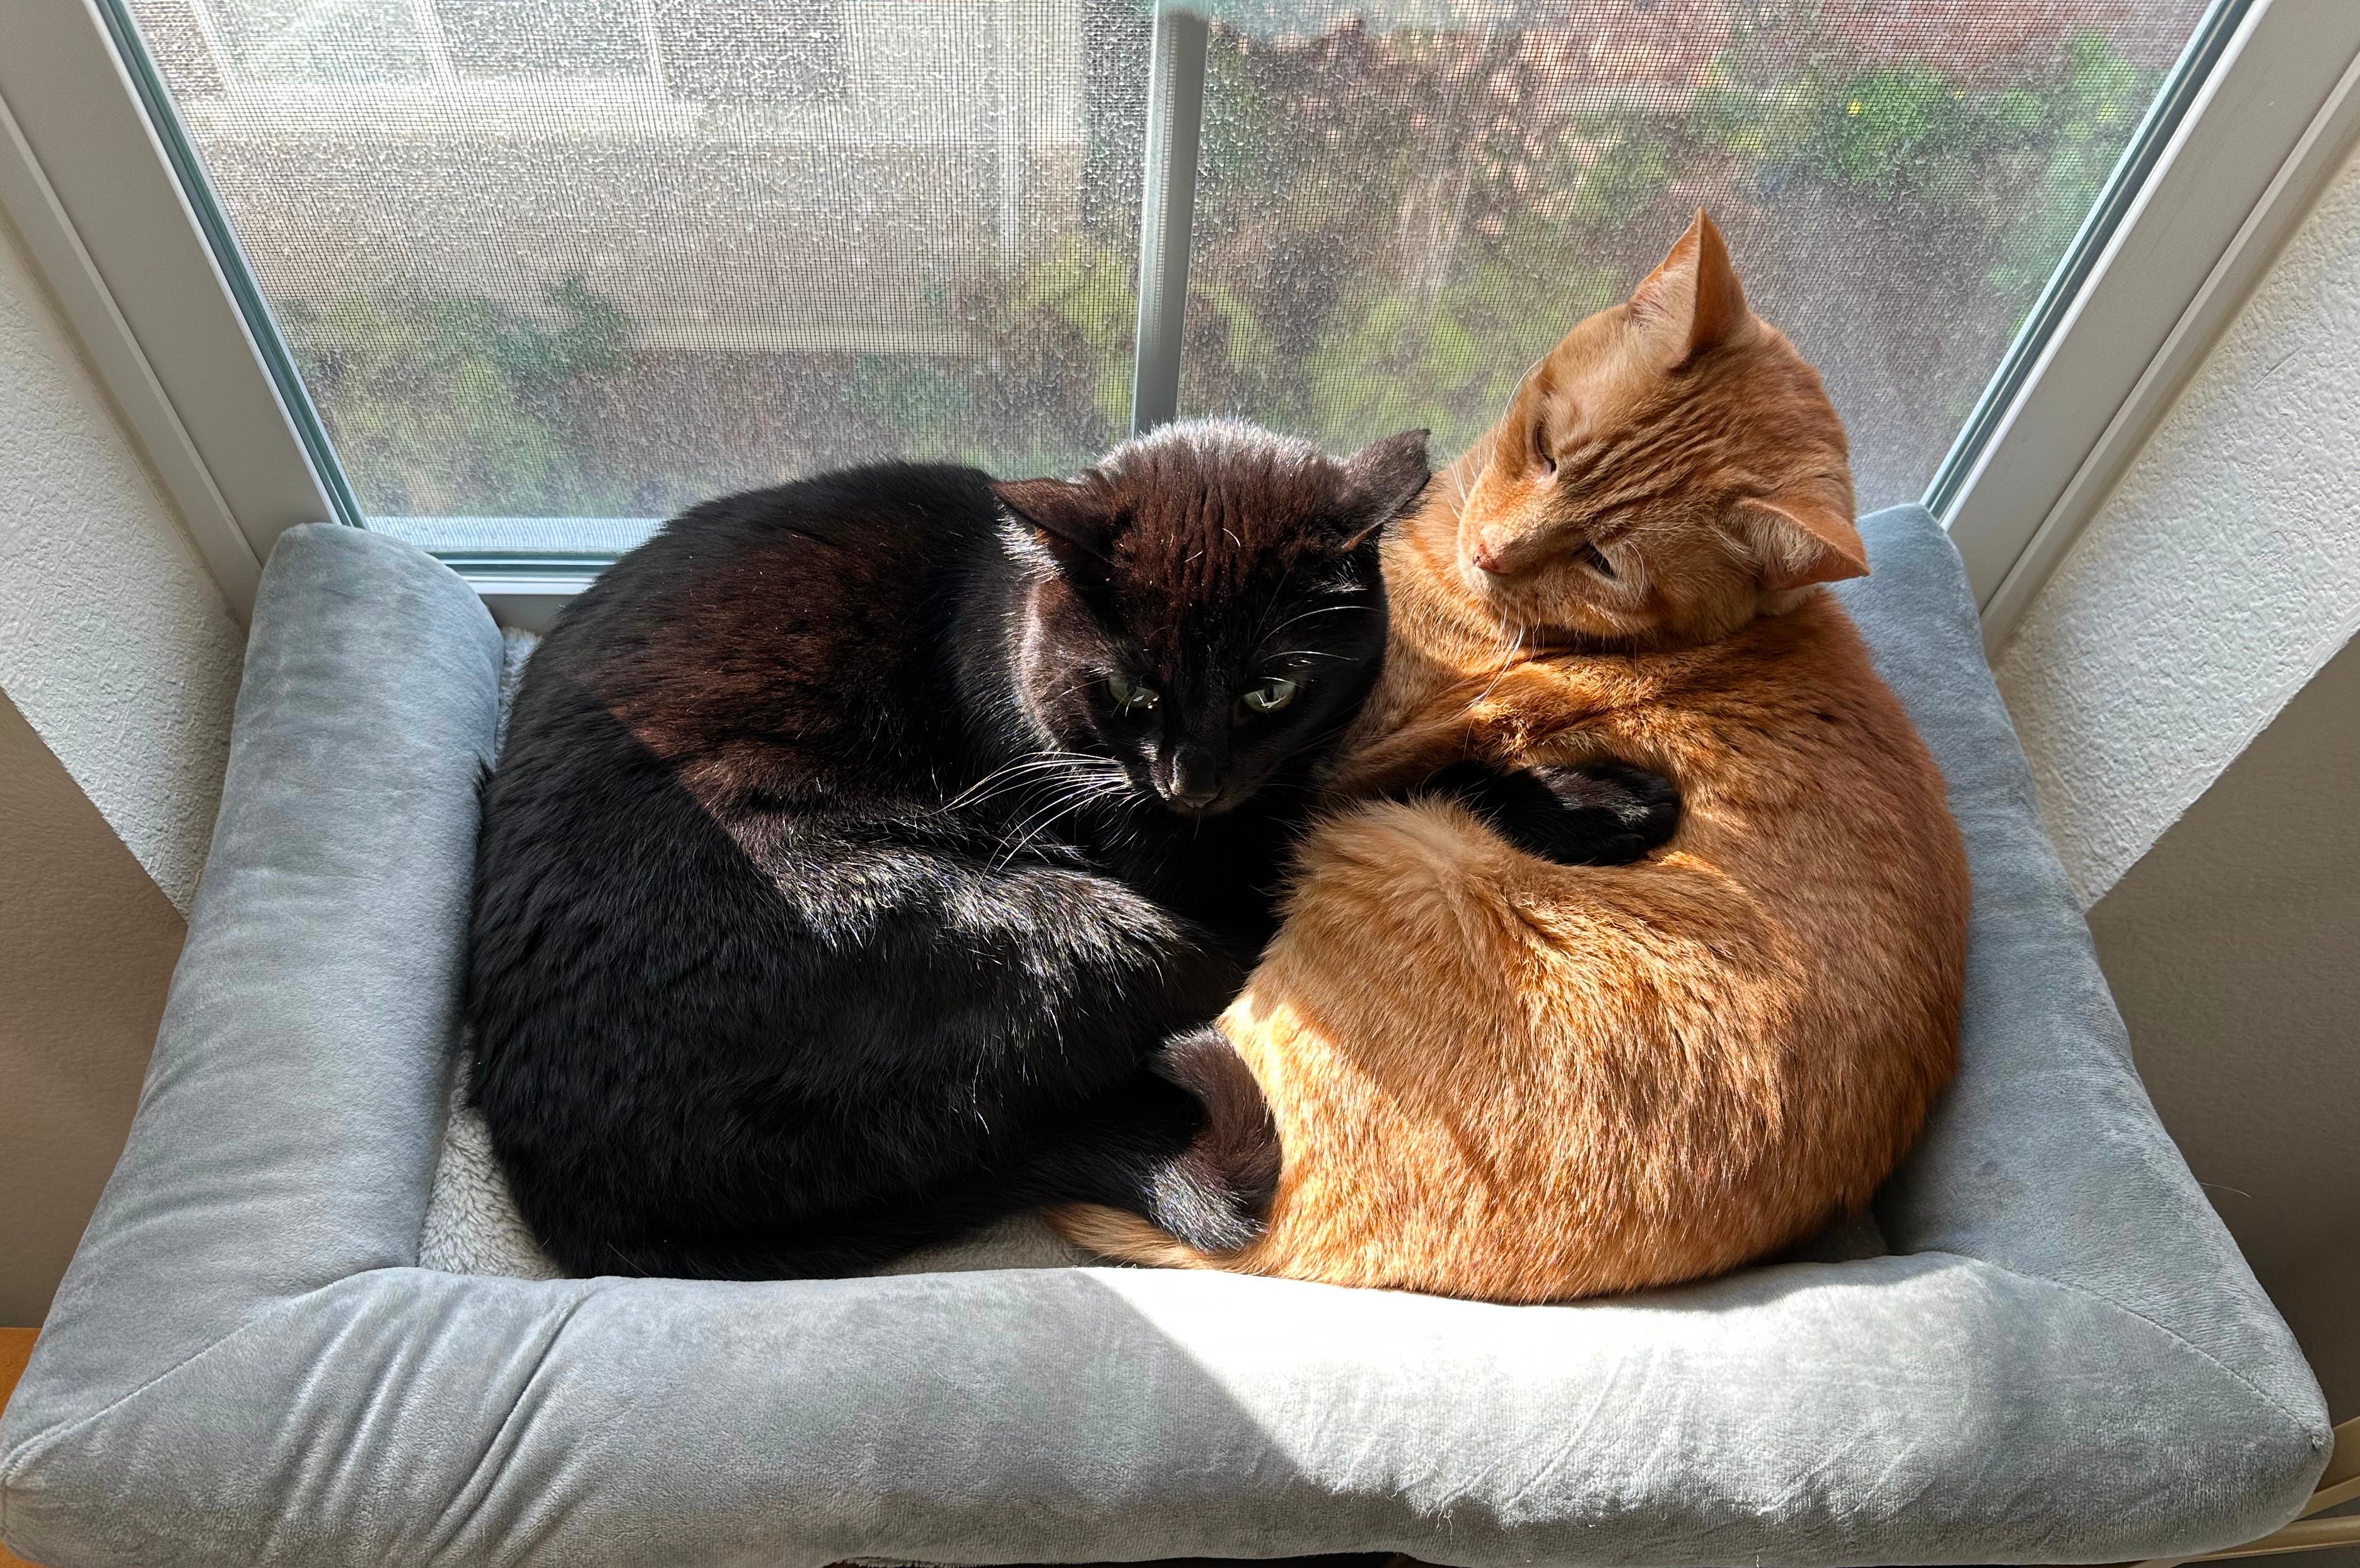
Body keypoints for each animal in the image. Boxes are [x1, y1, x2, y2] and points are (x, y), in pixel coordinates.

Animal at [466, 418, 1669, 1281]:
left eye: (1268, 688)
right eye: (1131, 691)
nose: (1192, 780)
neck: (996, 617)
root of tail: (560, 1183)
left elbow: (1363, 760)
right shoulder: (1187, 860)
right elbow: (1368, 793)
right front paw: (1605, 798)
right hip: (1087, 925)